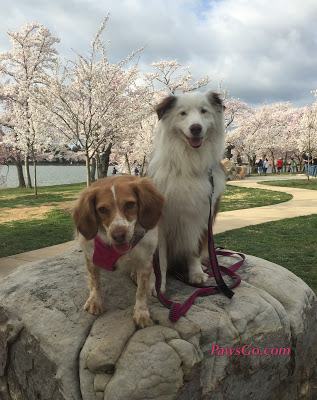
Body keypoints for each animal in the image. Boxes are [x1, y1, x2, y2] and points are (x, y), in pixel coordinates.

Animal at [72, 175, 164, 328]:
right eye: (102, 209)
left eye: (130, 204)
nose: (119, 235)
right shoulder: (91, 257)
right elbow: (95, 282)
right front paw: (95, 300)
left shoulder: (145, 261)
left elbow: (141, 291)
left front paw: (141, 313)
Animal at [147, 90, 226, 290]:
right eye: (182, 113)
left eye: (204, 111)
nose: (196, 128)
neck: (190, 162)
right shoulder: (159, 221)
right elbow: (157, 259)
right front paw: (155, 283)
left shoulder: (203, 217)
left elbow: (194, 251)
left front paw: (196, 273)